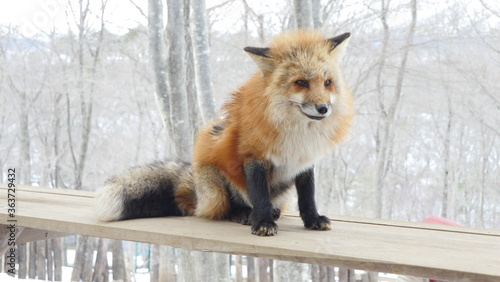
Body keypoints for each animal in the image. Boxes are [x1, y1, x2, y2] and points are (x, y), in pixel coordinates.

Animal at [95, 29, 354, 236]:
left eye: (327, 83)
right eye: (301, 82)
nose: (323, 108)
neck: (296, 133)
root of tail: (195, 189)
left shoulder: (304, 161)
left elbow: (308, 196)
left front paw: (312, 219)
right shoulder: (253, 157)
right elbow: (259, 195)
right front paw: (262, 222)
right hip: (216, 178)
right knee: (226, 208)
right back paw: (244, 213)